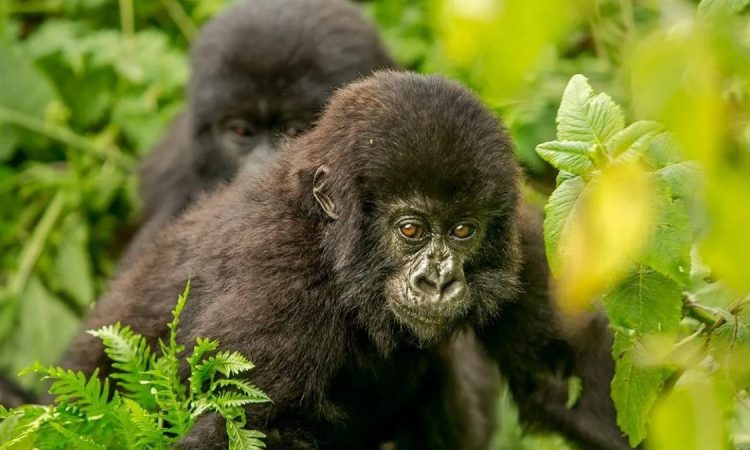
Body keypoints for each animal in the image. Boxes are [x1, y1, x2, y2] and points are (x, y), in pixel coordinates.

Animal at [62, 71, 629, 449]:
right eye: (410, 230)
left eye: (463, 230)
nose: (438, 282)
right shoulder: (278, 283)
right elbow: (238, 429)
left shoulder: (525, 243)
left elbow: (564, 377)